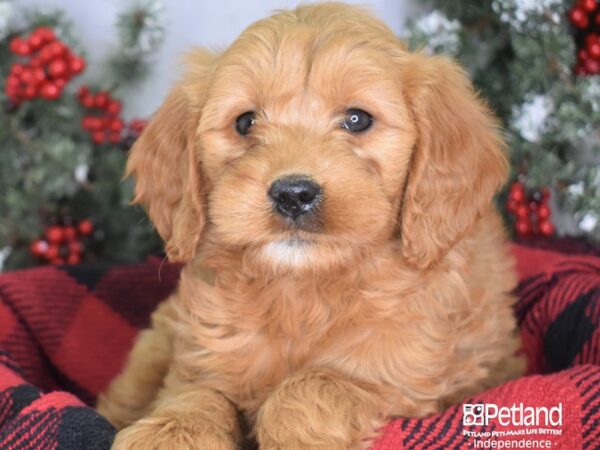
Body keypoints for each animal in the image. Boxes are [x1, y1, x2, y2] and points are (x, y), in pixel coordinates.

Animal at [96, 2, 524, 446]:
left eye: (357, 119)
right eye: (245, 122)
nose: (293, 194)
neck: (302, 290)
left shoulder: (400, 379)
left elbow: (313, 386)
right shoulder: (203, 354)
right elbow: (195, 393)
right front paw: (172, 432)